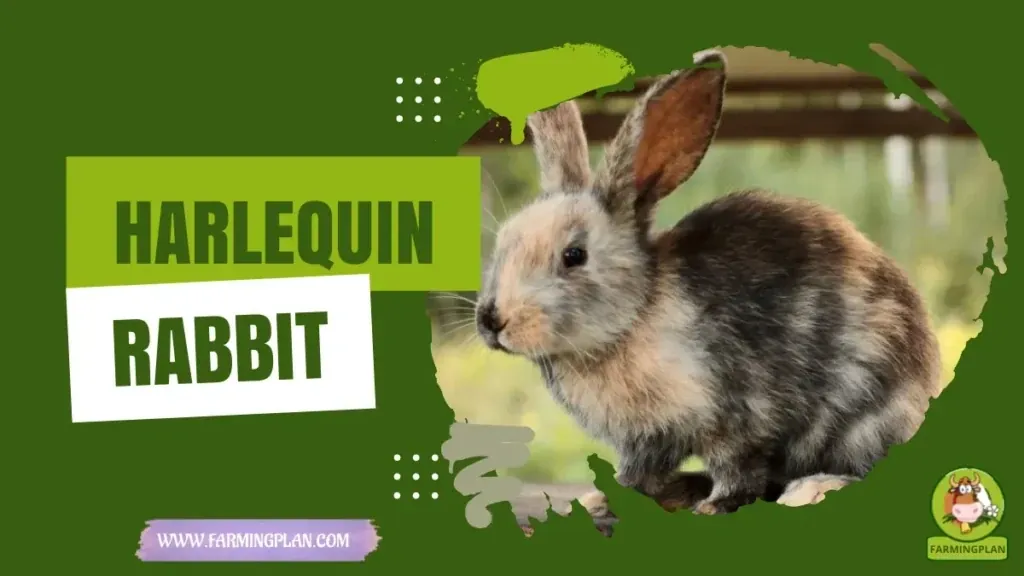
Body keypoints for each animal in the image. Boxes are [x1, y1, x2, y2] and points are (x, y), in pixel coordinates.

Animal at [474, 50, 942, 535]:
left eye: (573, 255)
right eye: (504, 240)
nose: (491, 321)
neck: (632, 319)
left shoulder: (736, 416)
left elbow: (737, 470)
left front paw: (713, 508)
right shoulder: (646, 442)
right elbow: (638, 478)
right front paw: (599, 502)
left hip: (863, 415)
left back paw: (812, 490)